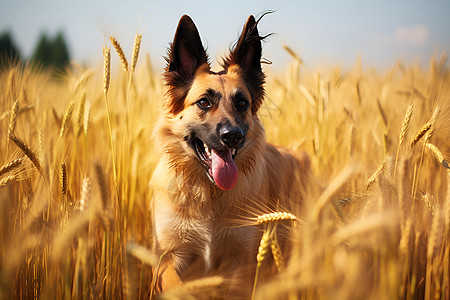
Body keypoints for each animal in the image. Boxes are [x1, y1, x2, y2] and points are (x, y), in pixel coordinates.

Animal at [149, 14, 312, 298]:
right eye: (204, 102)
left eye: (242, 103)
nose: (232, 136)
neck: (209, 193)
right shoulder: (168, 257)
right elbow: (175, 285)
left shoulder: (241, 262)